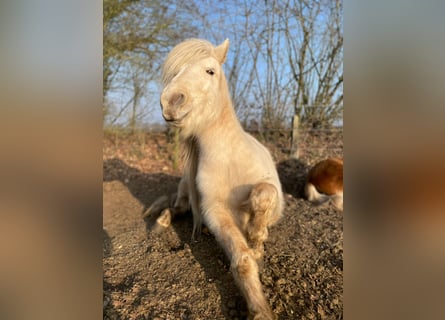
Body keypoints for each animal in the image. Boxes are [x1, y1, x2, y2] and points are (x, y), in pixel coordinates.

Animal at [153, 38, 282, 318]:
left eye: (210, 71)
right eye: (176, 72)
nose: (170, 101)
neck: (230, 159)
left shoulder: (274, 201)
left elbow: (263, 194)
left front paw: (257, 238)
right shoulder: (214, 211)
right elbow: (242, 260)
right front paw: (260, 310)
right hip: (185, 194)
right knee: (176, 207)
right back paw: (161, 222)